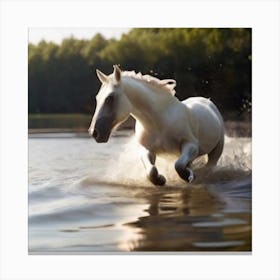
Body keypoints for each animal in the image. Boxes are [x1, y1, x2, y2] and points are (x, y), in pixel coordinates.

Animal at [88, 64, 224, 185]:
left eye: (110, 97)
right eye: (97, 98)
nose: (94, 132)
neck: (159, 123)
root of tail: (207, 101)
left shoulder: (191, 145)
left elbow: (178, 165)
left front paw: (189, 176)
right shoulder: (148, 149)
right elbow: (151, 171)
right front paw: (160, 180)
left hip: (216, 150)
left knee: (210, 166)